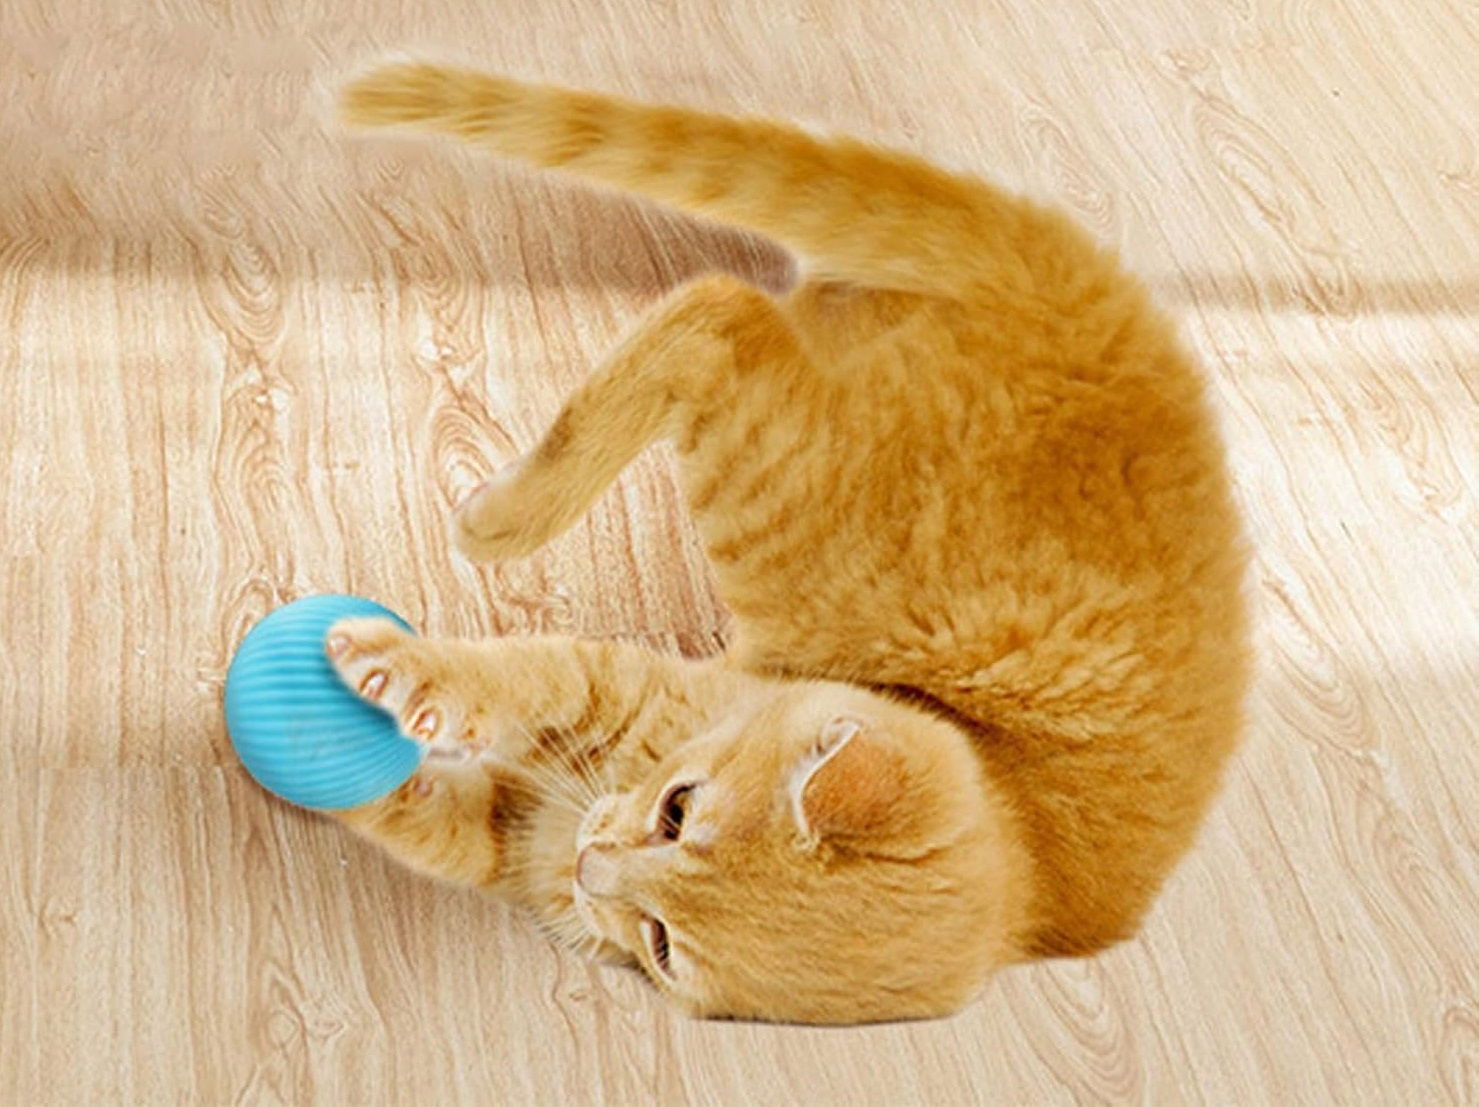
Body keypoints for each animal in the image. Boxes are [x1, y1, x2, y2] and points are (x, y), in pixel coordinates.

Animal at [323, 61, 1251, 1024]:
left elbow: (430, 810)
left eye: (661, 943)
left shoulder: (520, 832)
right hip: (780, 503)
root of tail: (1103, 298)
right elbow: (528, 672)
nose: (593, 865)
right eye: (678, 811)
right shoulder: (617, 686)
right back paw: (500, 516)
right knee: (718, 309)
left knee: (726, 313)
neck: (1026, 865)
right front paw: (396, 677)